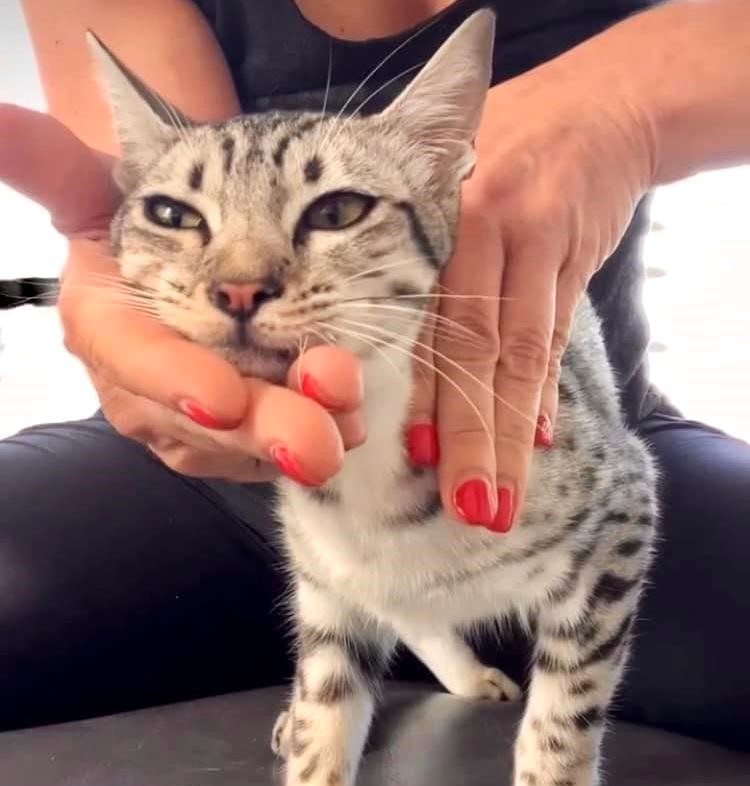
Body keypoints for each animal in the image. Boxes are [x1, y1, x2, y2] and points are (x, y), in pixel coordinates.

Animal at [89, 12, 656, 784]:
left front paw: (551, 763)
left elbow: (566, 712)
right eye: (173, 214)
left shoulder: (622, 512)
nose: (238, 288)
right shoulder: (327, 589)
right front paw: (310, 740)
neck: (368, 479)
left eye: (336, 211)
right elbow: (328, 702)